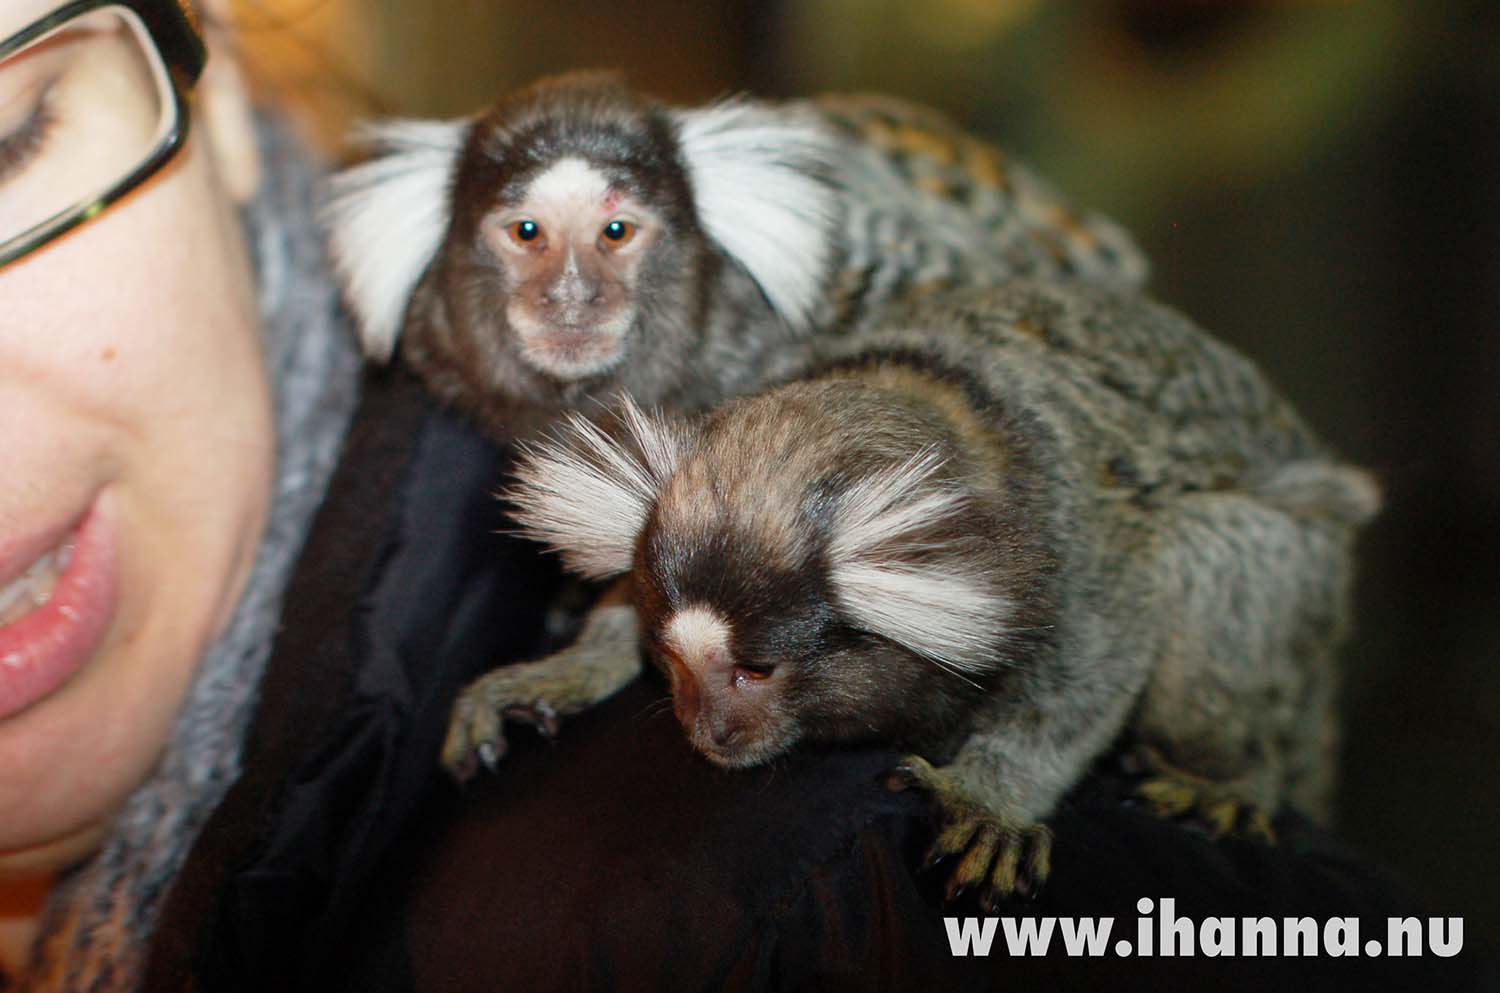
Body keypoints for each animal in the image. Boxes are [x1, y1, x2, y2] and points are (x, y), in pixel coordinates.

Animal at [498, 280, 1374, 912]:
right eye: (673, 660)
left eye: (755, 671)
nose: (706, 729)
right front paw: (573, 667)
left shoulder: (1071, 546)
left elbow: (1104, 651)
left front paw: (991, 795)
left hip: (1305, 573)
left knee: (1211, 551)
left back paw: (1237, 774)